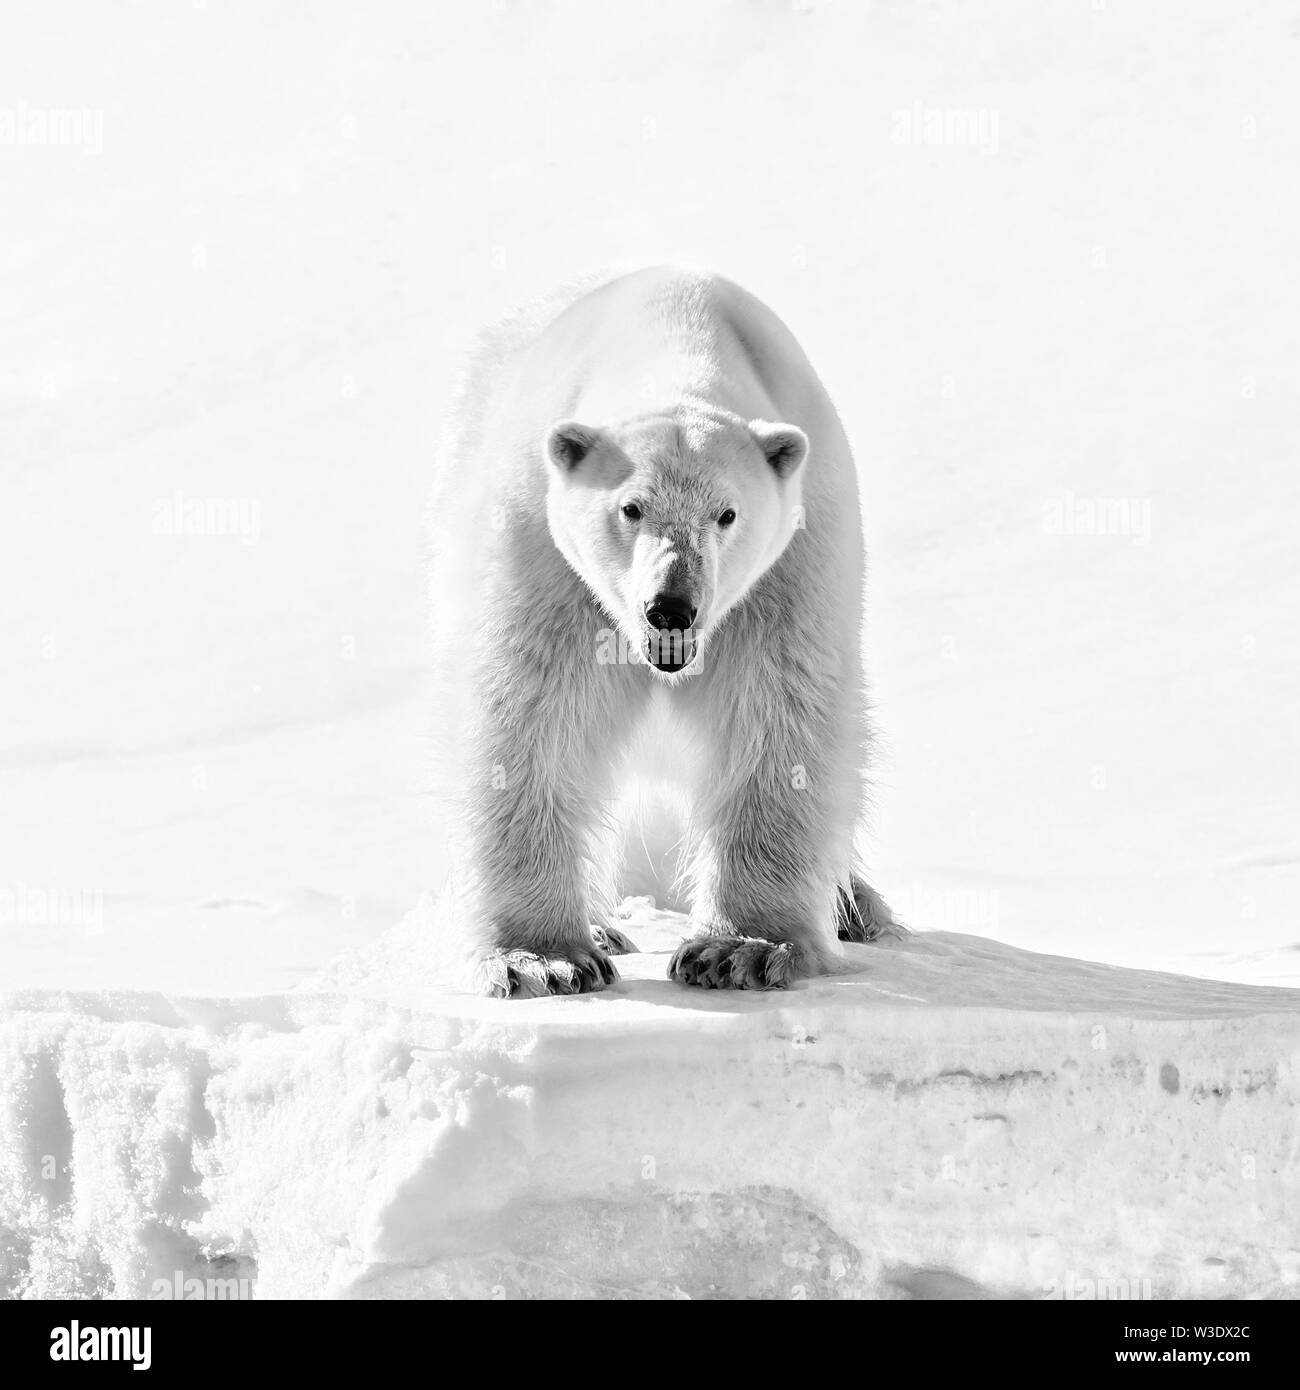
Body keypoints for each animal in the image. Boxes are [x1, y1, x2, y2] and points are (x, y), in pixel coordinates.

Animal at [426, 265, 896, 997]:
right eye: (631, 507)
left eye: (727, 513)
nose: (671, 609)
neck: (672, 336)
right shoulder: (541, 547)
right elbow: (528, 710)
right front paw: (543, 959)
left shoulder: (790, 560)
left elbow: (778, 711)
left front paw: (739, 950)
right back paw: (602, 926)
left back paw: (856, 910)